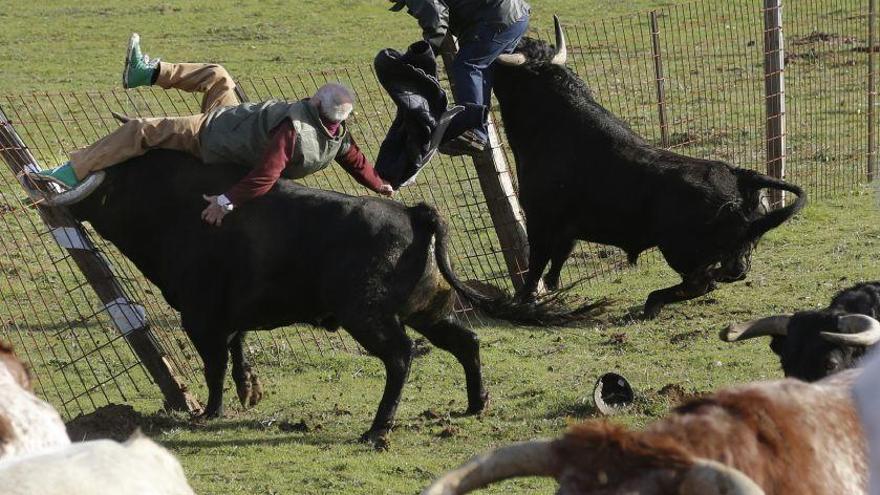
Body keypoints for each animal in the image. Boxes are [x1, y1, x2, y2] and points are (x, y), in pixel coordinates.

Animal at [492, 18, 808, 318]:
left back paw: (652, 302)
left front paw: (523, 301)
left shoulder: (540, 219)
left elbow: (535, 264)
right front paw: (550, 289)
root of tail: (740, 176)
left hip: (679, 250)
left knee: (701, 283)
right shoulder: (566, 228)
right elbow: (557, 260)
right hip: (728, 252)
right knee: (726, 275)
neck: (555, 122)